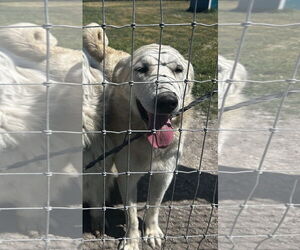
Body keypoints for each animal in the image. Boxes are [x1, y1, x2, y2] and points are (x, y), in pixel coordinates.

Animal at [83, 43, 195, 250]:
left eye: (178, 69)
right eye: (142, 69)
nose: (167, 101)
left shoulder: (164, 176)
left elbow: (154, 207)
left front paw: (151, 233)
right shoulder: (127, 177)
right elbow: (132, 214)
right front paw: (131, 241)